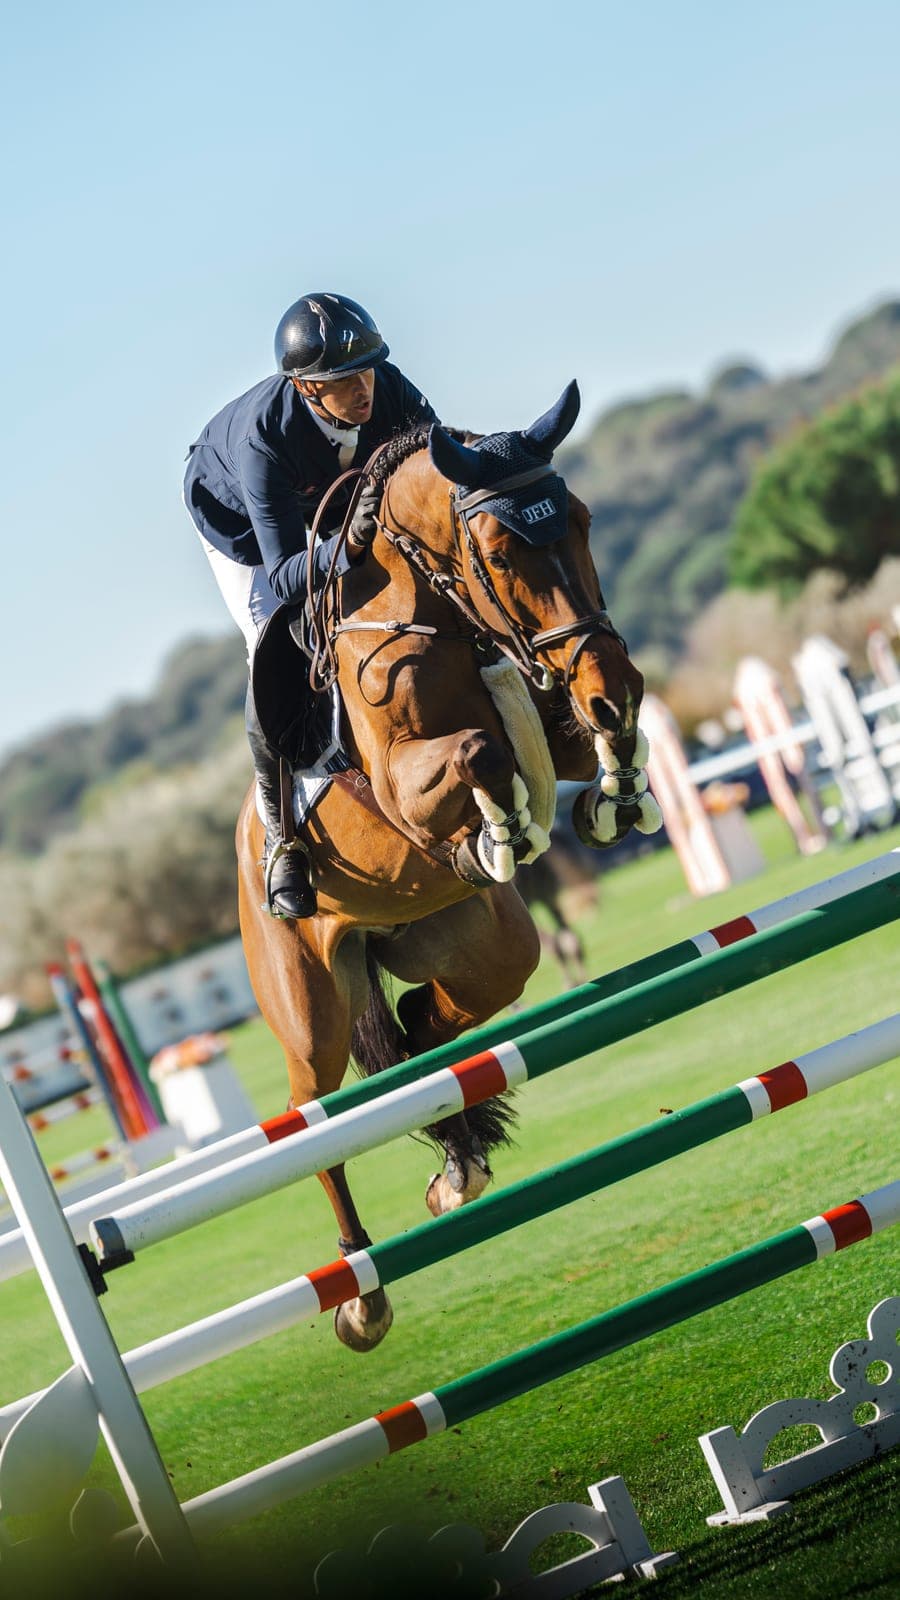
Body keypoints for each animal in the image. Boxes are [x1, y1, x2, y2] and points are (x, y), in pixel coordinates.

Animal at [236, 382, 660, 1351]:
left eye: (581, 520)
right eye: (501, 552)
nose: (609, 678)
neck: (442, 617)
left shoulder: (558, 703)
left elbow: (592, 736)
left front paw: (615, 792)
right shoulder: (402, 785)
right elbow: (476, 752)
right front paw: (501, 830)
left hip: (483, 953)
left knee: (425, 1032)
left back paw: (460, 1165)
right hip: (307, 1017)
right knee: (316, 1126)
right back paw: (359, 1296)